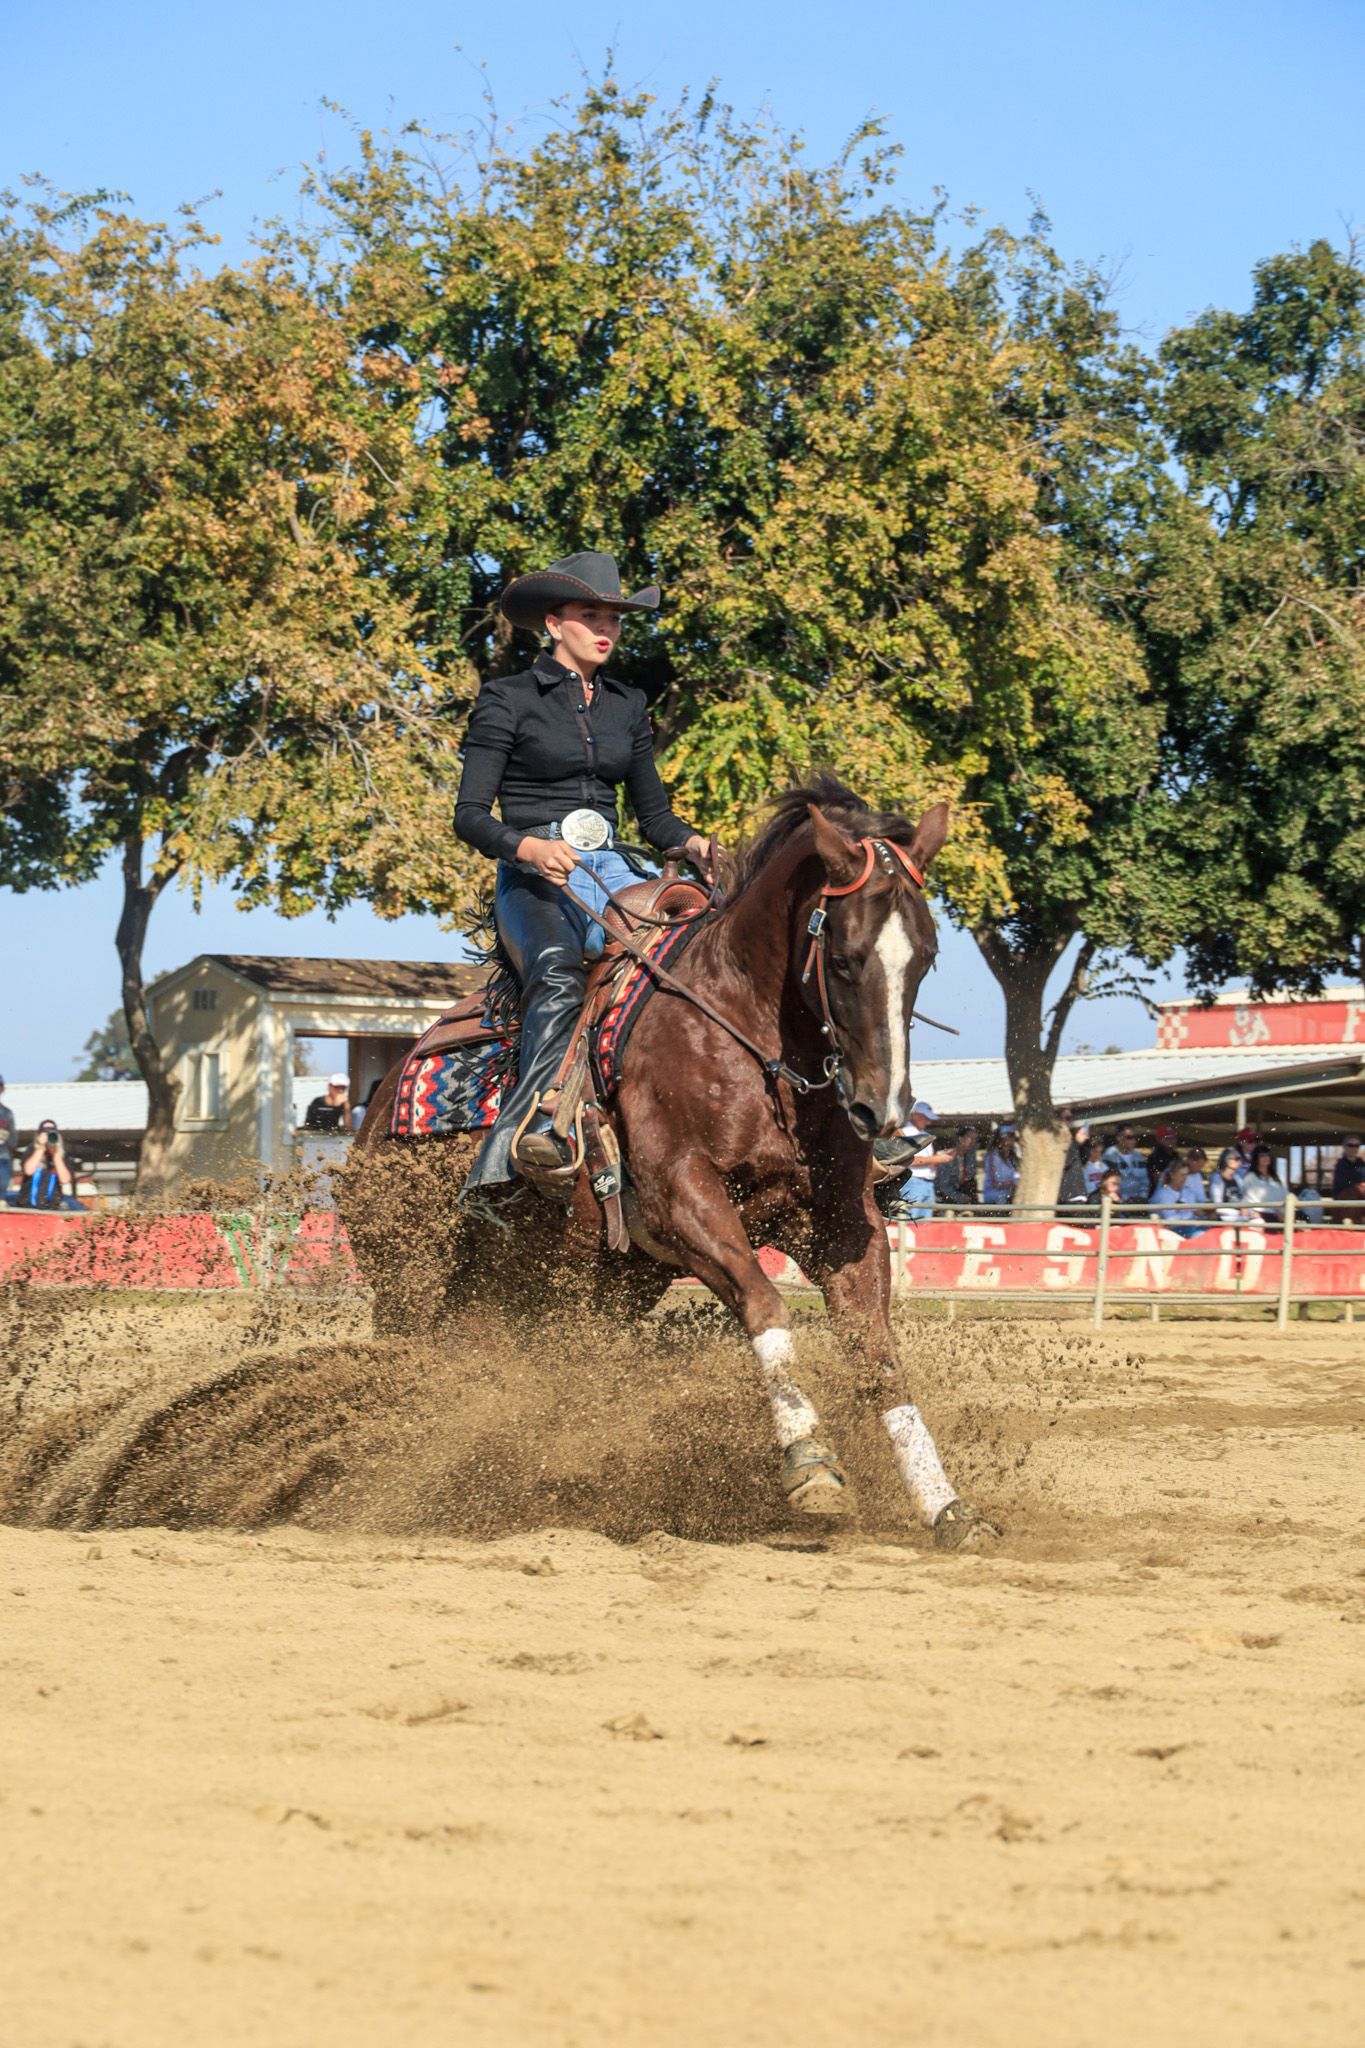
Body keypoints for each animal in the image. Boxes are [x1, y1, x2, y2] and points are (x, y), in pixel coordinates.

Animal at [344, 774, 997, 1549]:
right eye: (843, 958)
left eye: (925, 958)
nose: (882, 1111)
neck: (749, 1039)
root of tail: (376, 1110)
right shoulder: (680, 1201)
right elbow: (764, 1302)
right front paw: (811, 1463)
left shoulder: (842, 1219)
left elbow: (876, 1355)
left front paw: (946, 1505)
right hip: (408, 1280)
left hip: (564, 1288)